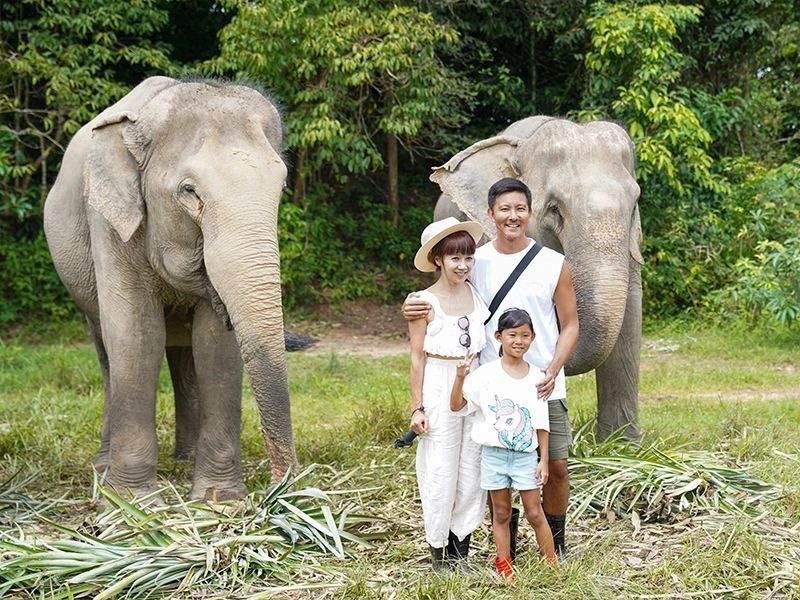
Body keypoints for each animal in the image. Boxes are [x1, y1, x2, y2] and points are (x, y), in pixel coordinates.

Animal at [44, 76, 299, 500]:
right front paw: (131, 500)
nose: (283, 484)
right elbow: (137, 336)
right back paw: (103, 467)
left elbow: (216, 346)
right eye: (189, 191)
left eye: (281, 186)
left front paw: (220, 501)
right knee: (107, 352)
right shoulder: (110, 225)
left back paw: (185, 457)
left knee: (183, 354)